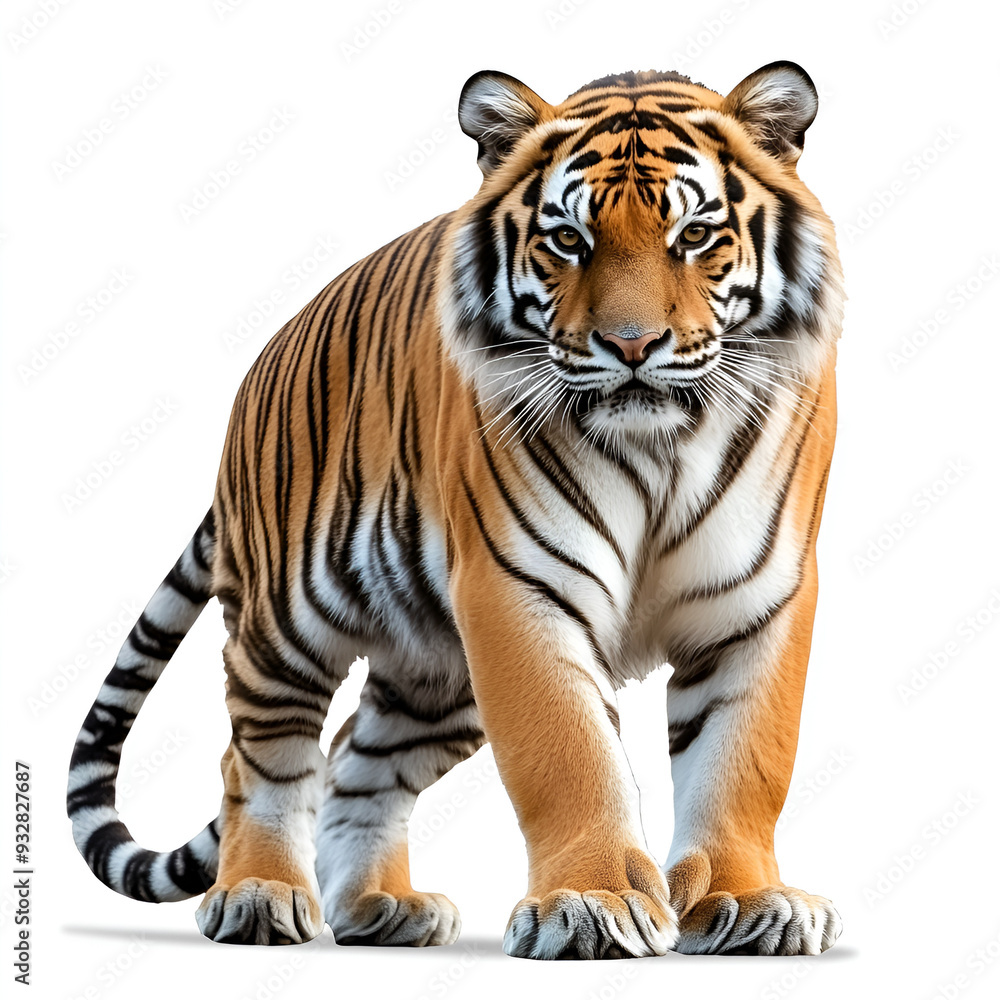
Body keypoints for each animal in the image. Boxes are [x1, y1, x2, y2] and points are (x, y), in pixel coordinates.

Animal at [67, 60, 844, 959]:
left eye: (693, 236)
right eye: (568, 240)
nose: (631, 345)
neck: (662, 446)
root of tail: (261, 362)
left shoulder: (759, 597)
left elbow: (746, 759)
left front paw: (749, 902)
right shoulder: (520, 587)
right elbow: (568, 751)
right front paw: (590, 903)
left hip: (436, 676)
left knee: (359, 760)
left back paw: (380, 907)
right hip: (282, 622)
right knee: (261, 758)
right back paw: (258, 894)